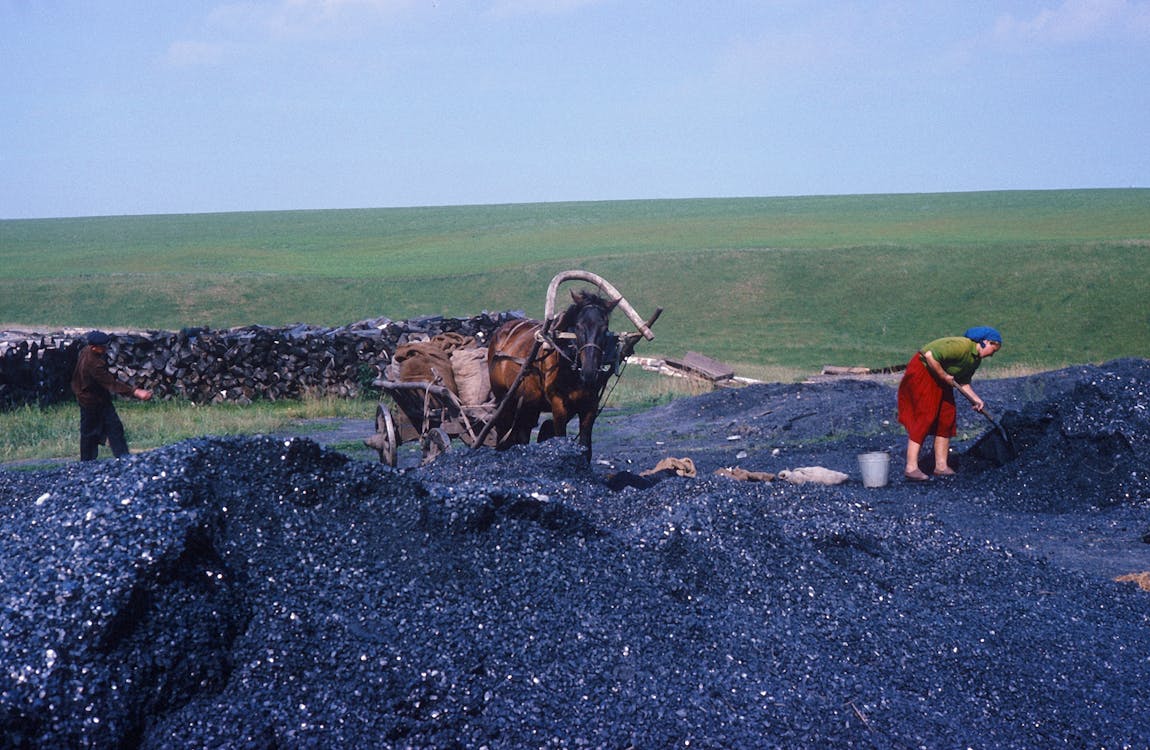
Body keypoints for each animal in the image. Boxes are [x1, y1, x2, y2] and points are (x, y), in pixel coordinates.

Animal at [489, 289, 625, 460]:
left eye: (604, 328)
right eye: (579, 326)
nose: (589, 372)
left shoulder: (590, 405)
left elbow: (585, 447)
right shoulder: (558, 405)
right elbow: (560, 439)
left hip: (528, 403)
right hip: (504, 399)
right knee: (502, 431)